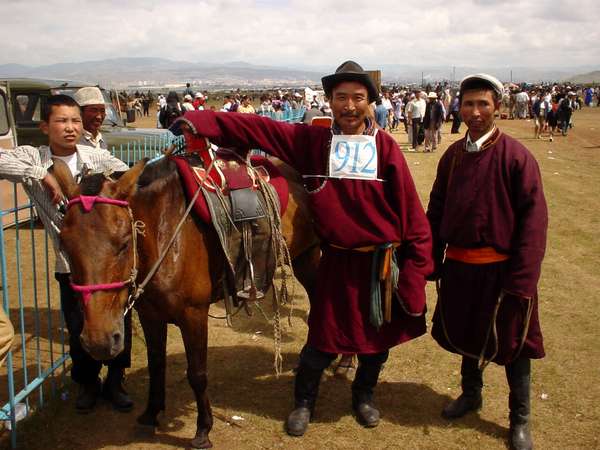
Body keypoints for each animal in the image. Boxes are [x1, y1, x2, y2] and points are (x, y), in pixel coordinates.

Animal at [53, 156, 322, 448]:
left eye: (124, 244)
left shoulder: (193, 315)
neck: (166, 234)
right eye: (64, 244)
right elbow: (156, 364)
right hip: (303, 260)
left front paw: (203, 430)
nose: (98, 342)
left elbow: (197, 373)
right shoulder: (150, 315)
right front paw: (151, 414)